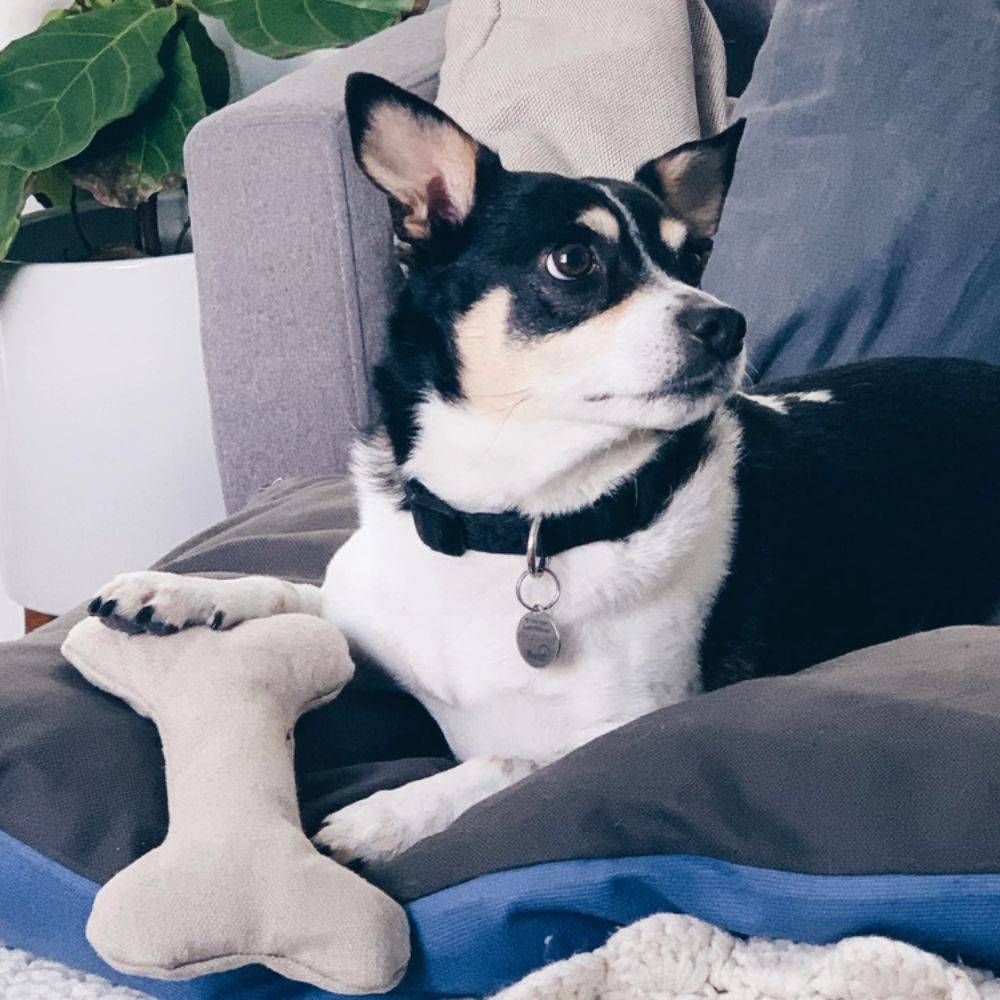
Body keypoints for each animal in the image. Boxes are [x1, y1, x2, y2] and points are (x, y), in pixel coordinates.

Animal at [89, 73, 1000, 865]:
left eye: (691, 262)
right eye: (574, 261)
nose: (727, 323)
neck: (515, 524)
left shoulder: (631, 724)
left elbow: (512, 760)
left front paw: (388, 812)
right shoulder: (367, 610)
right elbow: (290, 589)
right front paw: (180, 591)